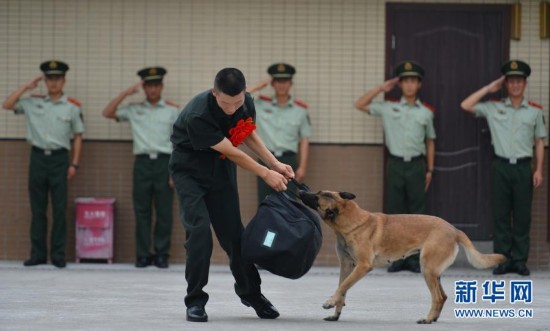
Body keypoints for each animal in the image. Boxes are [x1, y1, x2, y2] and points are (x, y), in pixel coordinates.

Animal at [300, 191, 506, 326]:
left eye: (317, 197)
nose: (301, 190)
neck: (350, 218)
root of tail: (454, 229)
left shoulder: (362, 266)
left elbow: (343, 286)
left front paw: (329, 302)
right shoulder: (346, 265)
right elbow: (342, 288)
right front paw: (336, 313)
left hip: (427, 269)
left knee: (438, 297)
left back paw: (427, 319)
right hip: (433, 271)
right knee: (443, 296)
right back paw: (434, 318)